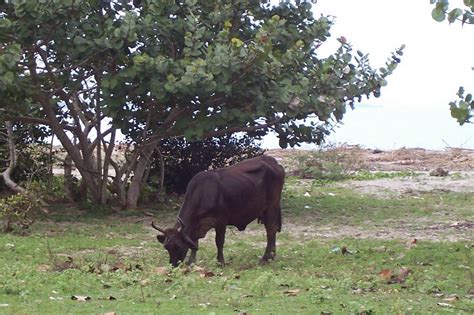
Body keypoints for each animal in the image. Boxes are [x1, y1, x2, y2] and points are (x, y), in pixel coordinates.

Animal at [153, 156, 286, 266]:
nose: (173, 265)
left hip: (272, 206)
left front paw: (220, 262)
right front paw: (191, 262)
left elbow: (219, 242)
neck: (203, 193)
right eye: (167, 247)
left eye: (178, 246)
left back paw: (266, 258)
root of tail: (274, 162)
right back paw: (272, 256)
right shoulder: (197, 225)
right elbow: (195, 242)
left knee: (271, 229)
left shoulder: (221, 221)